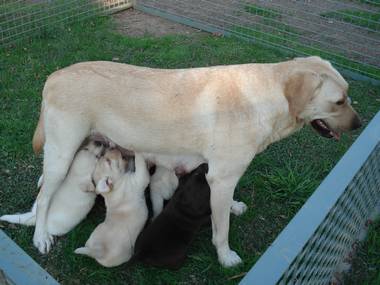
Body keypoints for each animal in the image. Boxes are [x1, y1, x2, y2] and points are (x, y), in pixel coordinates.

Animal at [31, 56, 360, 266]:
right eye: (339, 101)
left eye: (348, 95)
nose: (358, 124)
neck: (266, 100)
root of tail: (54, 75)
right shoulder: (221, 178)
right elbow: (221, 229)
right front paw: (226, 257)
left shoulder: (222, 176)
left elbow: (226, 206)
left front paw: (234, 207)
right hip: (62, 153)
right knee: (44, 197)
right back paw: (41, 236)